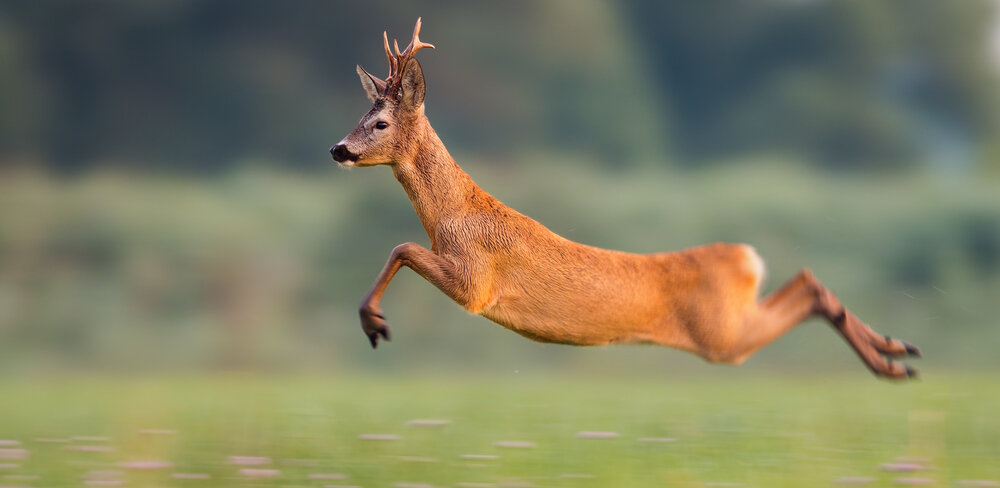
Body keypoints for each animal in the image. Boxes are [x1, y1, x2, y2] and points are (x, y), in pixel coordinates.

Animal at [330, 18, 920, 378]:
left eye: (380, 123)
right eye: (361, 114)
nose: (338, 148)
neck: (454, 215)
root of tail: (747, 258)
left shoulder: (475, 283)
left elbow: (402, 247)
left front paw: (374, 323)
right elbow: (402, 248)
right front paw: (371, 321)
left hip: (722, 336)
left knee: (808, 289)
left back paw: (894, 360)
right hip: (730, 323)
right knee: (807, 281)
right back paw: (898, 353)